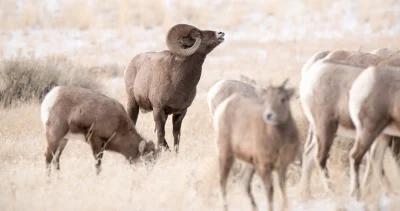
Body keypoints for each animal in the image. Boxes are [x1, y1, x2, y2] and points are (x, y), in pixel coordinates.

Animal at [124, 23, 225, 151]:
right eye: (197, 34)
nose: (220, 33)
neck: (178, 82)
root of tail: (132, 63)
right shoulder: (158, 110)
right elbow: (161, 134)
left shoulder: (180, 113)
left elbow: (176, 136)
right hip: (133, 104)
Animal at [214, 79, 298, 211]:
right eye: (265, 99)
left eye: (283, 98)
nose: (269, 115)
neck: (278, 141)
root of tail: (222, 107)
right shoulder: (264, 167)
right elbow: (270, 190)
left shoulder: (282, 166)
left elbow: (282, 187)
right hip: (225, 154)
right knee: (223, 181)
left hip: (249, 164)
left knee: (245, 183)